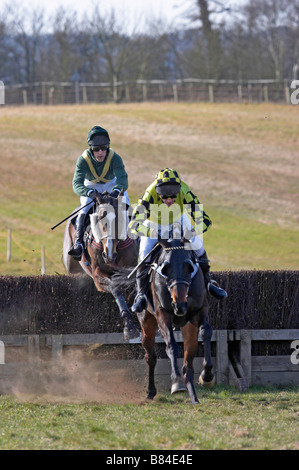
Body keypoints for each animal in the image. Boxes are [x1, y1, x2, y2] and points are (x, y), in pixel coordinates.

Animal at [63, 191, 139, 342]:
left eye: (120, 220)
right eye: (98, 220)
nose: (108, 254)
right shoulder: (98, 275)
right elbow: (116, 289)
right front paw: (130, 327)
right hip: (71, 264)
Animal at [138, 239, 216, 404]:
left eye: (189, 267)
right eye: (165, 269)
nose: (179, 305)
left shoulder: (201, 309)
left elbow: (206, 332)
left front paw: (207, 376)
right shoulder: (163, 313)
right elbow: (171, 346)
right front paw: (176, 382)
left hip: (189, 328)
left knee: (188, 366)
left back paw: (194, 397)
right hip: (147, 322)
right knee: (151, 357)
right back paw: (151, 391)